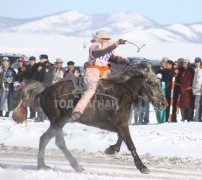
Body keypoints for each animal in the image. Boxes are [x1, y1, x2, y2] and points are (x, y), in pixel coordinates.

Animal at [13, 64, 167, 174]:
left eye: (160, 83)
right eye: (152, 84)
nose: (163, 104)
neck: (119, 94)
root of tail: (46, 89)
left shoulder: (122, 124)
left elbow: (122, 138)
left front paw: (111, 149)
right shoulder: (111, 124)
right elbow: (129, 143)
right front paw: (142, 167)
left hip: (58, 122)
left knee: (46, 139)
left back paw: (44, 165)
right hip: (58, 121)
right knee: (56, 141)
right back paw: (75, 166)